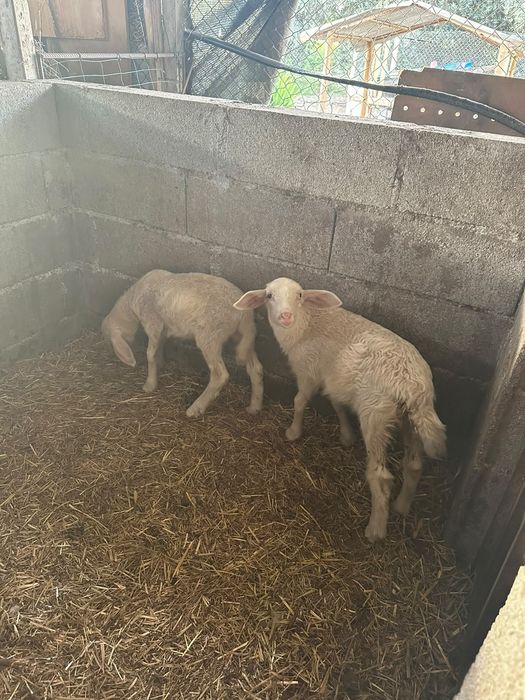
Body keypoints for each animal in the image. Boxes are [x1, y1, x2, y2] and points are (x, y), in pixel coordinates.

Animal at [102, 270, 264, 417]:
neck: (132, 301)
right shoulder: (163, 329)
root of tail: (245, 314)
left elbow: (150, 354)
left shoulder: (153, 323)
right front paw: (160, 363)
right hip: (242, 336)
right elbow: (159, 347)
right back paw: (254, 407)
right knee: (255, 368)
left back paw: (195, 408)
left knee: (220, 375)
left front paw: (150, 384)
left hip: (210, 335)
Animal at [234, 277, 446, 542]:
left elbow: (299, 400)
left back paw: (375, 530)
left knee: (380, 477)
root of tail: (413, 386)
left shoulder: (308, 372)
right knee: (414, 466)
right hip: (412, 421)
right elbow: (336, 403)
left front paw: (293, 432)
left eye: (300, 295)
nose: (285, 316)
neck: (305, 325)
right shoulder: (332, 378)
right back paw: (402, 506)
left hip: (375, 414)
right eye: (269, 296)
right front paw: (346, 435)